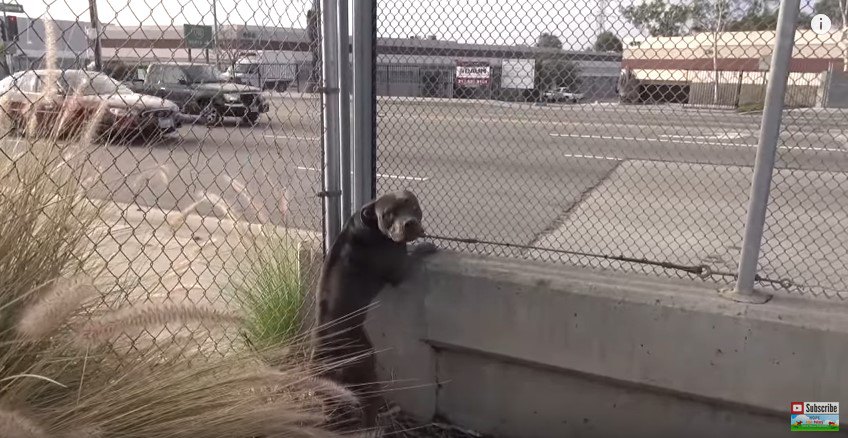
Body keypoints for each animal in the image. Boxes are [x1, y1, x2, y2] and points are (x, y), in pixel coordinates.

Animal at [316, 190, 440, 430]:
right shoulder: (400, 269)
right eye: (389, 214)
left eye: (412, 206)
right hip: (366, 370)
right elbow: (414, 255)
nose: (409, 223)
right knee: (370, 403)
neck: (371, 223)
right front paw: (426, 246)